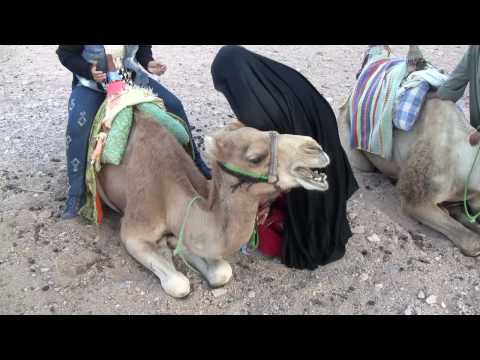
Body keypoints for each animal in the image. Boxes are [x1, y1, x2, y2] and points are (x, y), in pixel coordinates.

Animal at [97, 113, 330, 298]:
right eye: (255, 158)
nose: (315, 147)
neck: (168, 192)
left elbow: (221, 271)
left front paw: (170, 243)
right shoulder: (134, 231)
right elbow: (179, 284)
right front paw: (164, 248)